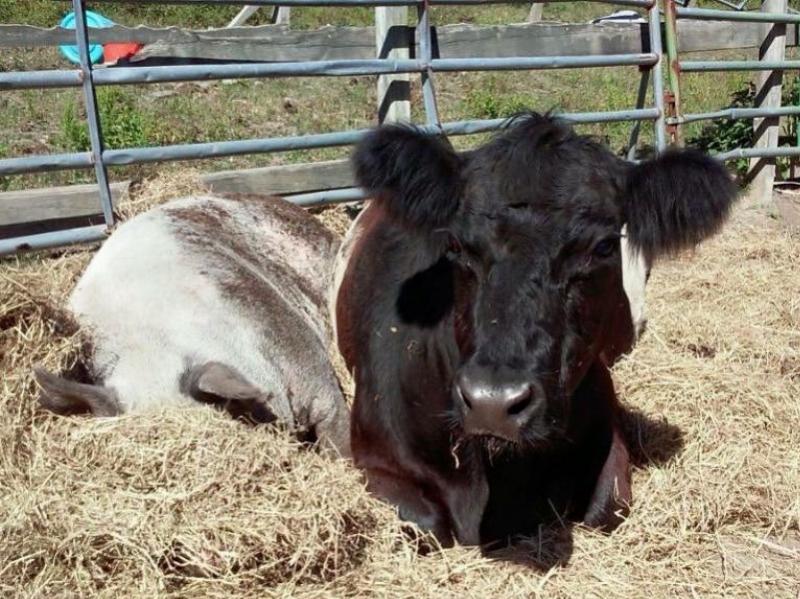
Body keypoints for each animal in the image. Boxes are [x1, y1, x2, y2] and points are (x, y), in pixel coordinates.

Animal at [332, 112, 737, 546]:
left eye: (603, 247)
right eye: (456, 245)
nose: (492, 403)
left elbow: (606, 510)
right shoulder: (375, 457)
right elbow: (427, 524)